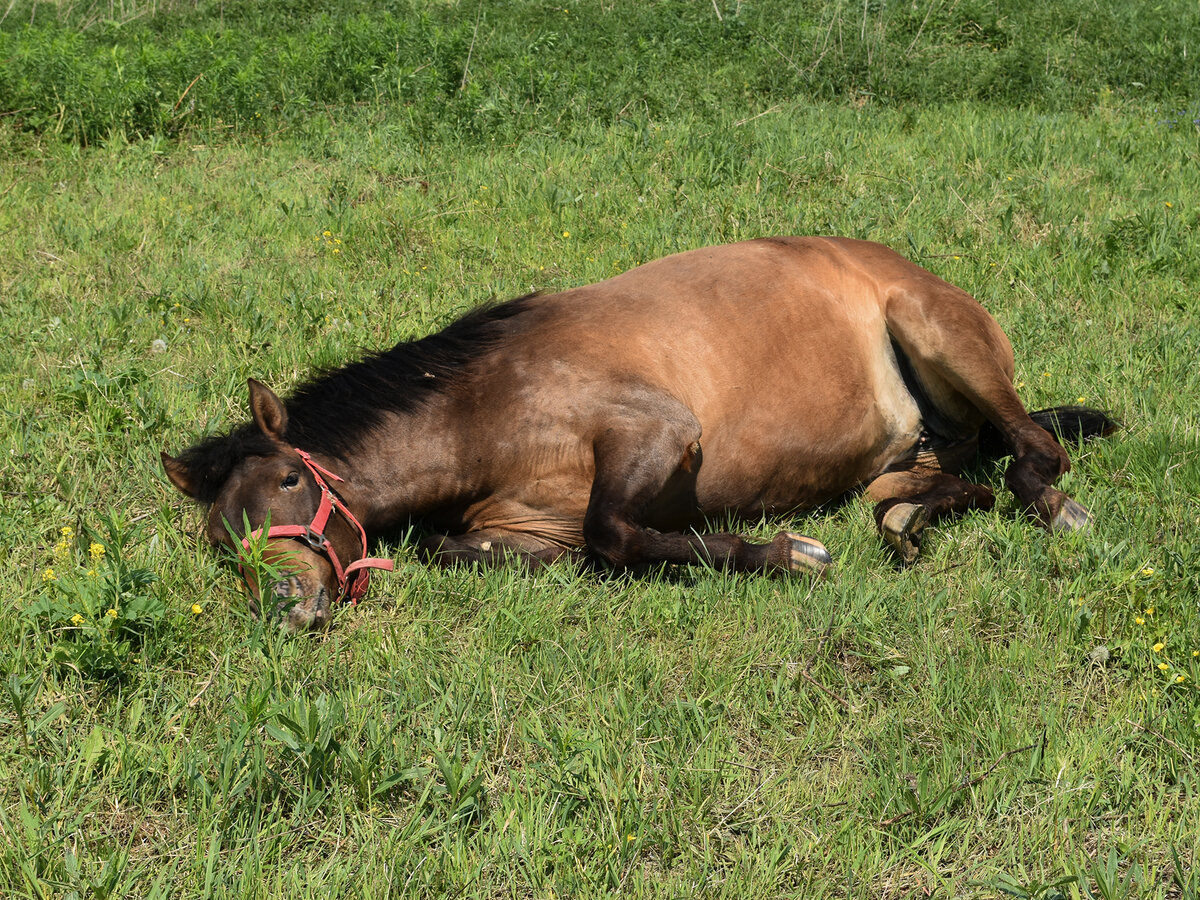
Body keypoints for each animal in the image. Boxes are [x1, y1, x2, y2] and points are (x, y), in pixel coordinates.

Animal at [159, 240, 1113, 633]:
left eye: (289, 483)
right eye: (219, 540)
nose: (285, 606)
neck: (486, 408)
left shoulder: (655, 431)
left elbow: (613, 533)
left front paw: (785, 553)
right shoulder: (519, 525)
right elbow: (466, 549)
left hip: (935, 329)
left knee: (1035, 450)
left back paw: (1055, 506)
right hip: (909, 450)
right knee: (956, 477)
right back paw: (909, 521)